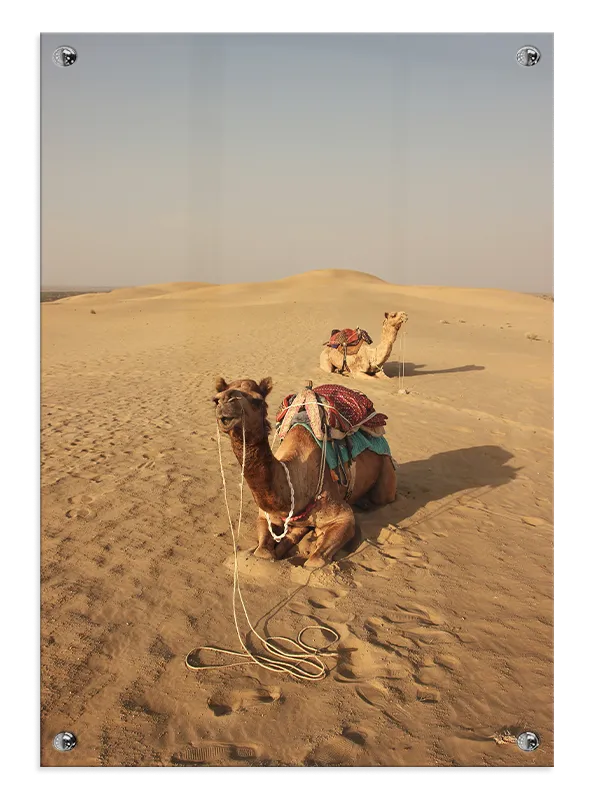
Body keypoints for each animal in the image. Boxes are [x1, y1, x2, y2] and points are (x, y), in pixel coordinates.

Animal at [213, 377, 397, 569]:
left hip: (385, 468)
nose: (225, 402)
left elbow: (315, 561)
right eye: (215, 400)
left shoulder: (344, 516)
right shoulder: (266, 515)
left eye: (257, 400)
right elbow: (263, 552)